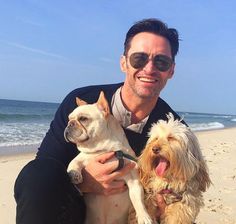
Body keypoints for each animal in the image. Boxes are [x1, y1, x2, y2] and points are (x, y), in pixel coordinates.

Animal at [63, 91, 152, 224]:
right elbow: (73, 163)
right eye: (69, 119)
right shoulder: (83, 156)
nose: (69, 124)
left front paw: (144, 216)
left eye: (83, 119)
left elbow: (138, 200)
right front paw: (75, 175)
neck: (105, 149)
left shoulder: (133, 180)